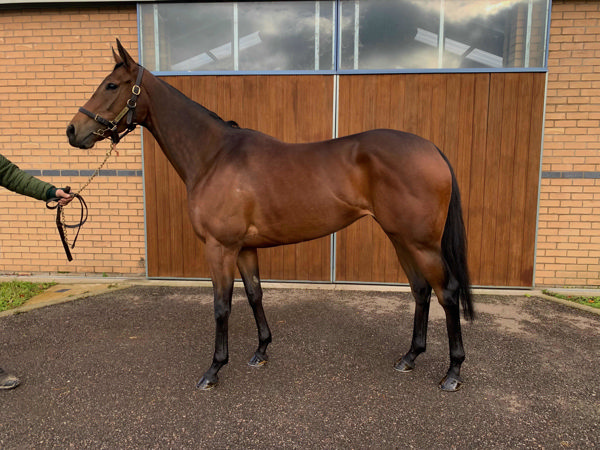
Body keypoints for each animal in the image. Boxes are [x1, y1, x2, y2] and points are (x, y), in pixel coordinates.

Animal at [67, 40, 474, 392]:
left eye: (111, 85)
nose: (73, 131)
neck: (214, 157)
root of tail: (431, 149)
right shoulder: (244, 248)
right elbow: (254, 294)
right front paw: (261, 350)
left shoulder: (220, 247)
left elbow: (221, 305)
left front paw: (214, 369)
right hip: (400, 237)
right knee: (421, 290)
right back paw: (409, 357)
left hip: (421, 243)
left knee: (447, 292)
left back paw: (453, 372)